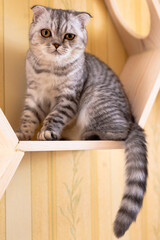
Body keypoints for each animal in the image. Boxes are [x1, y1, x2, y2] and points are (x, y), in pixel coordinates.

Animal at [15, 5, 148, 238]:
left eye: (69, 36)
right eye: (46, 33)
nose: (57, 44)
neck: (50, 69)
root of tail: (132, 119)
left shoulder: (68, 99)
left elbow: (53, 117)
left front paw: (47, 132)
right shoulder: (34, 96)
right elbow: (29, 118)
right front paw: (23, 134)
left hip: (95, 98)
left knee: (120, 132)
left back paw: (88, 135)